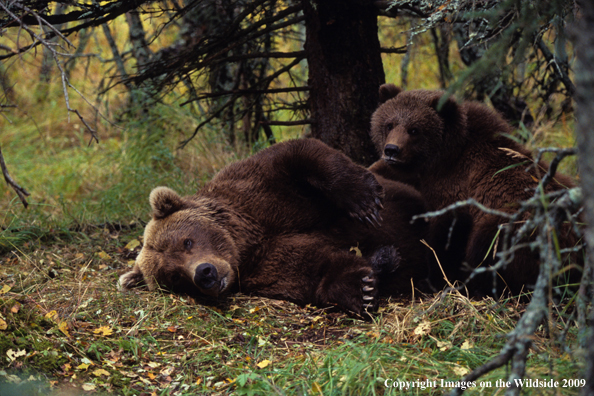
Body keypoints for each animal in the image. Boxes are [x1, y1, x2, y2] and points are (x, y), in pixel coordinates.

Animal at [119, 138, 426, 314]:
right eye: (174, 277)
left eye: (187, 241)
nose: (205, 274)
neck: (246, 240)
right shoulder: (264, 265)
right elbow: (310, 268)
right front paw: (362, 289)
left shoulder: (260, 191)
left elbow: (300, 153)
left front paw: (365, 202)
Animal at [368, 86, 580, 296]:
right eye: (389, 124)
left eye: (414, 129)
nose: (392, 150)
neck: (445, 158)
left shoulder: (456, 194)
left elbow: (445, 239)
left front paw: (433, 280)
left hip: (517, 227)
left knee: (488, 247)